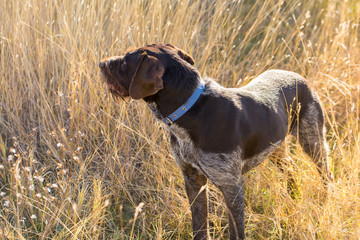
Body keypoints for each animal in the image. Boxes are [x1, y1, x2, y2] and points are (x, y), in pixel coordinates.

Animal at [97, 44, 332, 239]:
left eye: (126, 62)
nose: (100, 63)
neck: (190, 108)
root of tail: (297, 75)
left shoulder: (231, 186)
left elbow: (236, 231)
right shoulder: (193, 180)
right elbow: (199, 226)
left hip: (312, 140)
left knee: (325, 173)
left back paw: (325, 201)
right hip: (276, 148)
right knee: (291, 171)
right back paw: (294, 196)